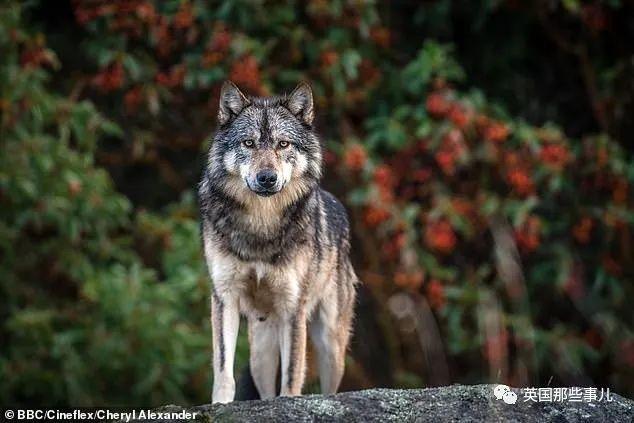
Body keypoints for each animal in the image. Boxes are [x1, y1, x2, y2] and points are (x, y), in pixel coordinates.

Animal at [199, 80, 356, 404]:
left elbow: (293, 374)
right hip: (260, 352)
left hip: (330, 345)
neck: (262, 224)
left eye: (283, 144)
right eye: (248, 143)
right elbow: (223, 368)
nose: (267, 178)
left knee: (329, 386)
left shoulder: (293, 307)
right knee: (264, 389)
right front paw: (220, 405)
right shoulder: (224, 297)